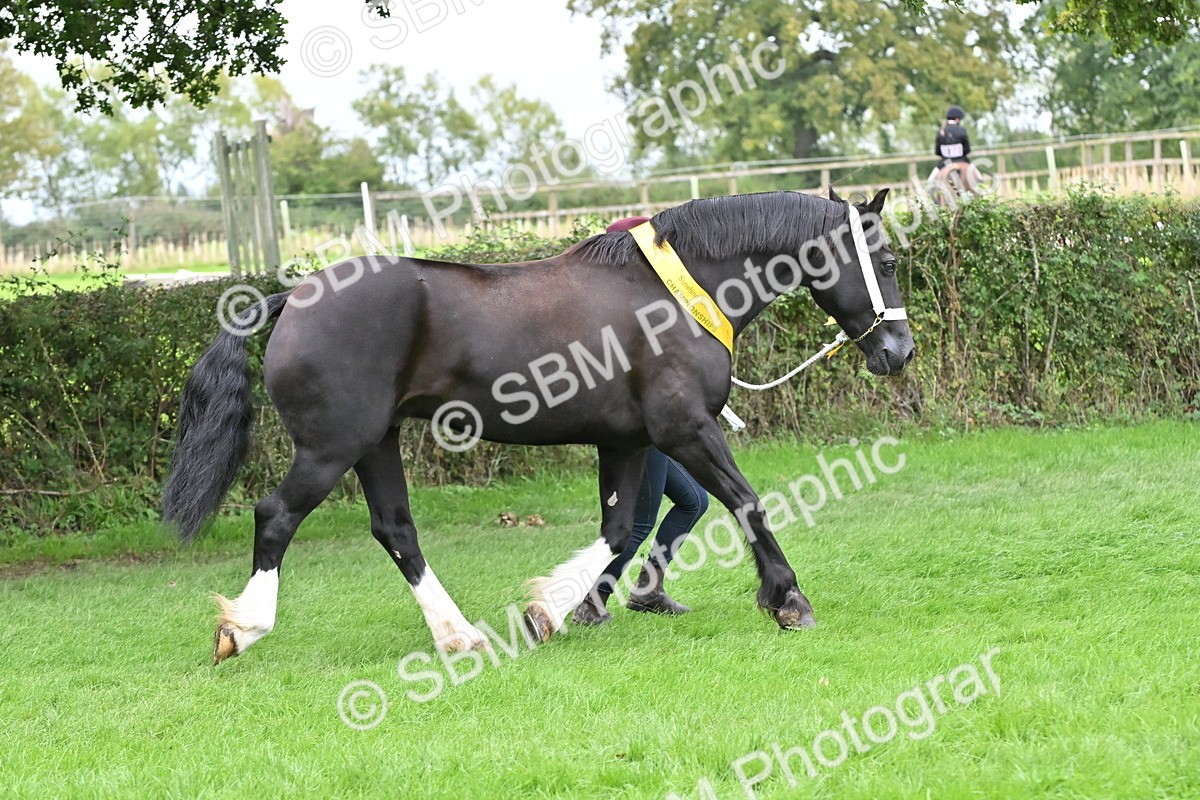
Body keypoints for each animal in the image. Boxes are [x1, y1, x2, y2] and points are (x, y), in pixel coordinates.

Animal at [160, 187, 914, 664]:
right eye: (887, 261)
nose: (899, 351)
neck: (676, 294)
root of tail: (293, 298)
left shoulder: (627, 441)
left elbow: (618, 530)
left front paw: (549, 610)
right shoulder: (685, 431)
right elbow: (746, 501)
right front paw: (788, 600)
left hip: (375, 443)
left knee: (396, 530)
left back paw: (460, 636)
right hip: (331, 446)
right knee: (276, 517)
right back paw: (244, 629)